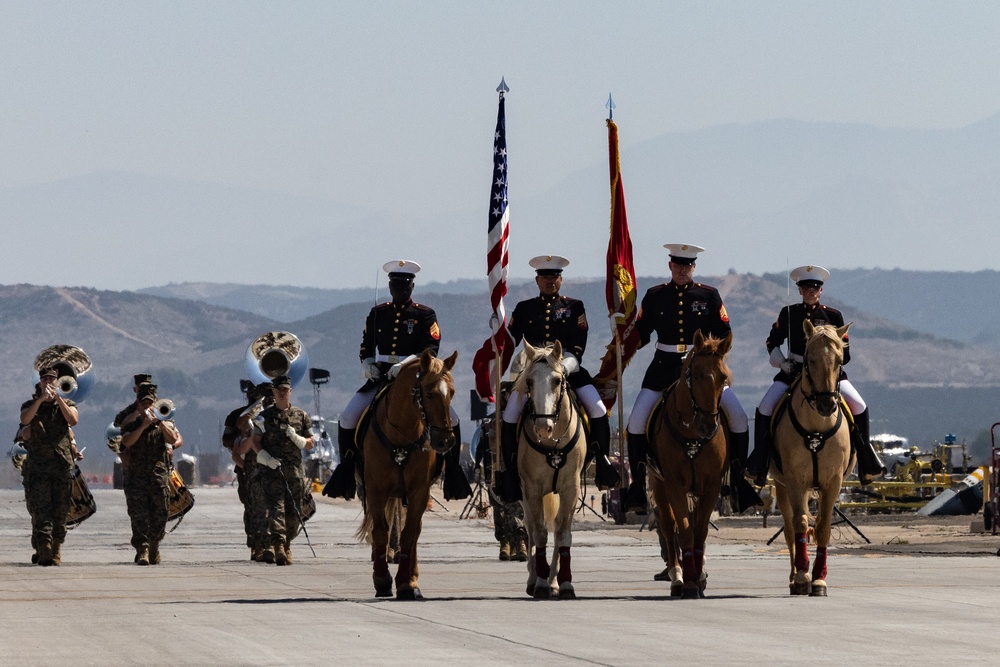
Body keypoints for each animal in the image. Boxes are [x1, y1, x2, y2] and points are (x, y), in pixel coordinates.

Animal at [356, 350, 458, 600]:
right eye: (429, 394)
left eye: (451, 393)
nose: (446, 441)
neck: (401, 435)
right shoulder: (375, 490)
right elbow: (380, 531)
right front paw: (382, 580)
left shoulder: (419, 492)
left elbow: (409, 534)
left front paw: (406, 583)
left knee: (414, 532)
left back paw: (412, 576)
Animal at [516, 340, 584, 600]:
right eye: (529, 381)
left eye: (557, 380)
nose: (543, 427)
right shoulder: (532, 488)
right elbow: (540, 533)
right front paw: (541, 582)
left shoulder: (571, 488)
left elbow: (562, 533)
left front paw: (563, 583)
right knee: (531, 528)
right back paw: (534, 577)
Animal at [644, 332, 732, 596]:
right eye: (697, 375)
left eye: (723, 377)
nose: (708, 426)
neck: (692, 434)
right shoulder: (674, 484)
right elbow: (683, 531)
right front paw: (689, 582)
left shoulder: (712, 486)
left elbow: (700, 532)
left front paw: (699, 577)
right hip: (658, 483)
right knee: (667, 525)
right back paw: (676, 576)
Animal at [764, 320, 852, 596]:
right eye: (809, 360)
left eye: (839, 360)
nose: (826, 405)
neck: (816, 428)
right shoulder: (795, 481)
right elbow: (801, 525)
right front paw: (803, 577)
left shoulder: (832, 482)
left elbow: (823, 527)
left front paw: (819, 580)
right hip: (781, 486)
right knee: (790, 528)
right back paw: (793, 578)